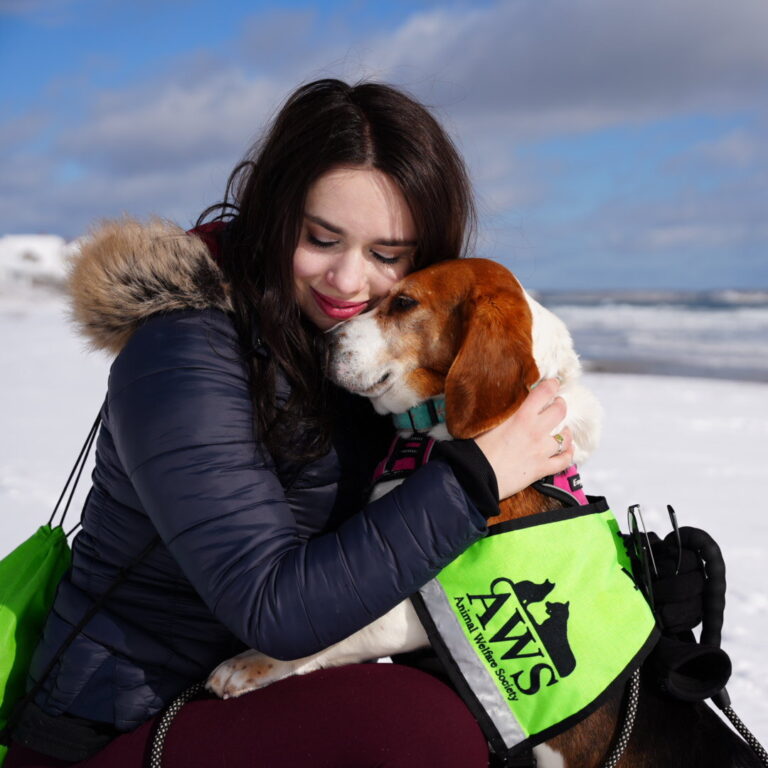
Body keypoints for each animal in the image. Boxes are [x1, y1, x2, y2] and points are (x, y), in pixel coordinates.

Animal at [207, 258, 604, 696]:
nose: (320, 344)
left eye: (403, 303)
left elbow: (337, 632)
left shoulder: (434, 607)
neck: (431, 428)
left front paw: (248, 662)